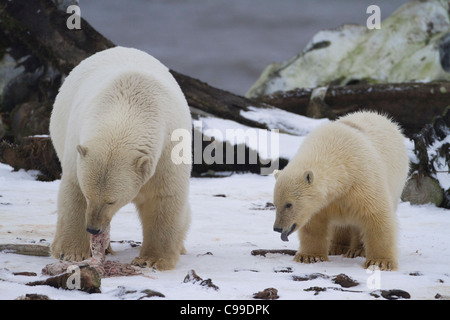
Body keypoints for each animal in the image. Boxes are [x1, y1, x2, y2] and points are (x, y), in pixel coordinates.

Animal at [50, 47, 192, 270]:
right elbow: (74, 190)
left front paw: (152, 259)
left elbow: (164, 197)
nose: (93, 228)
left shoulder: (168, 148)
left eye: (111, 201)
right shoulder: (77, 143)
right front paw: (71, 253)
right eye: (89, 195)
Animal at [272, 112, 410, 270]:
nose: (277, 228)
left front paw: (380, 262)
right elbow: (314, 224)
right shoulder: (325, 202)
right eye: (275, 204)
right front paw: (309, 256)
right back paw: (337, 247)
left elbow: (376, 215)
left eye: (289, 204)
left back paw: (357, 250)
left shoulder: (362, 180)